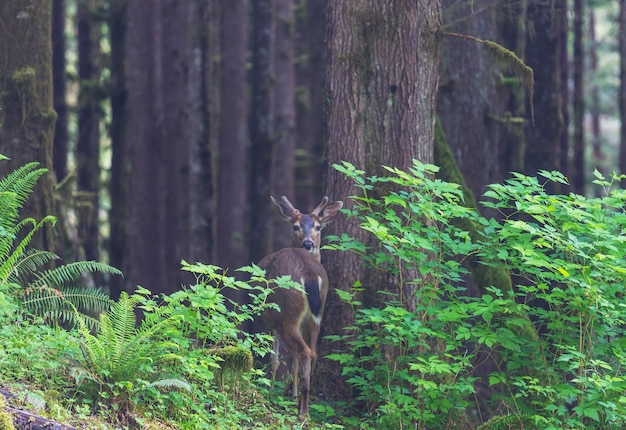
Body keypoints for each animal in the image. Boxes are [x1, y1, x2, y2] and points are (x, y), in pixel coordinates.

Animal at [258, 195, 342, 416]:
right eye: (296, 226)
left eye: (318, 227)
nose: (308, 243)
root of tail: (309, 275)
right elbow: (293, 364)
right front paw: (292, 395)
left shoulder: (269, 319)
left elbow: (275, 359)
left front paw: (271, 392)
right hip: (315, 316)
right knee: (312, 353)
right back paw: (304, 404)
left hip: (287, 314)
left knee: (303, 352)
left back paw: (302, 411)